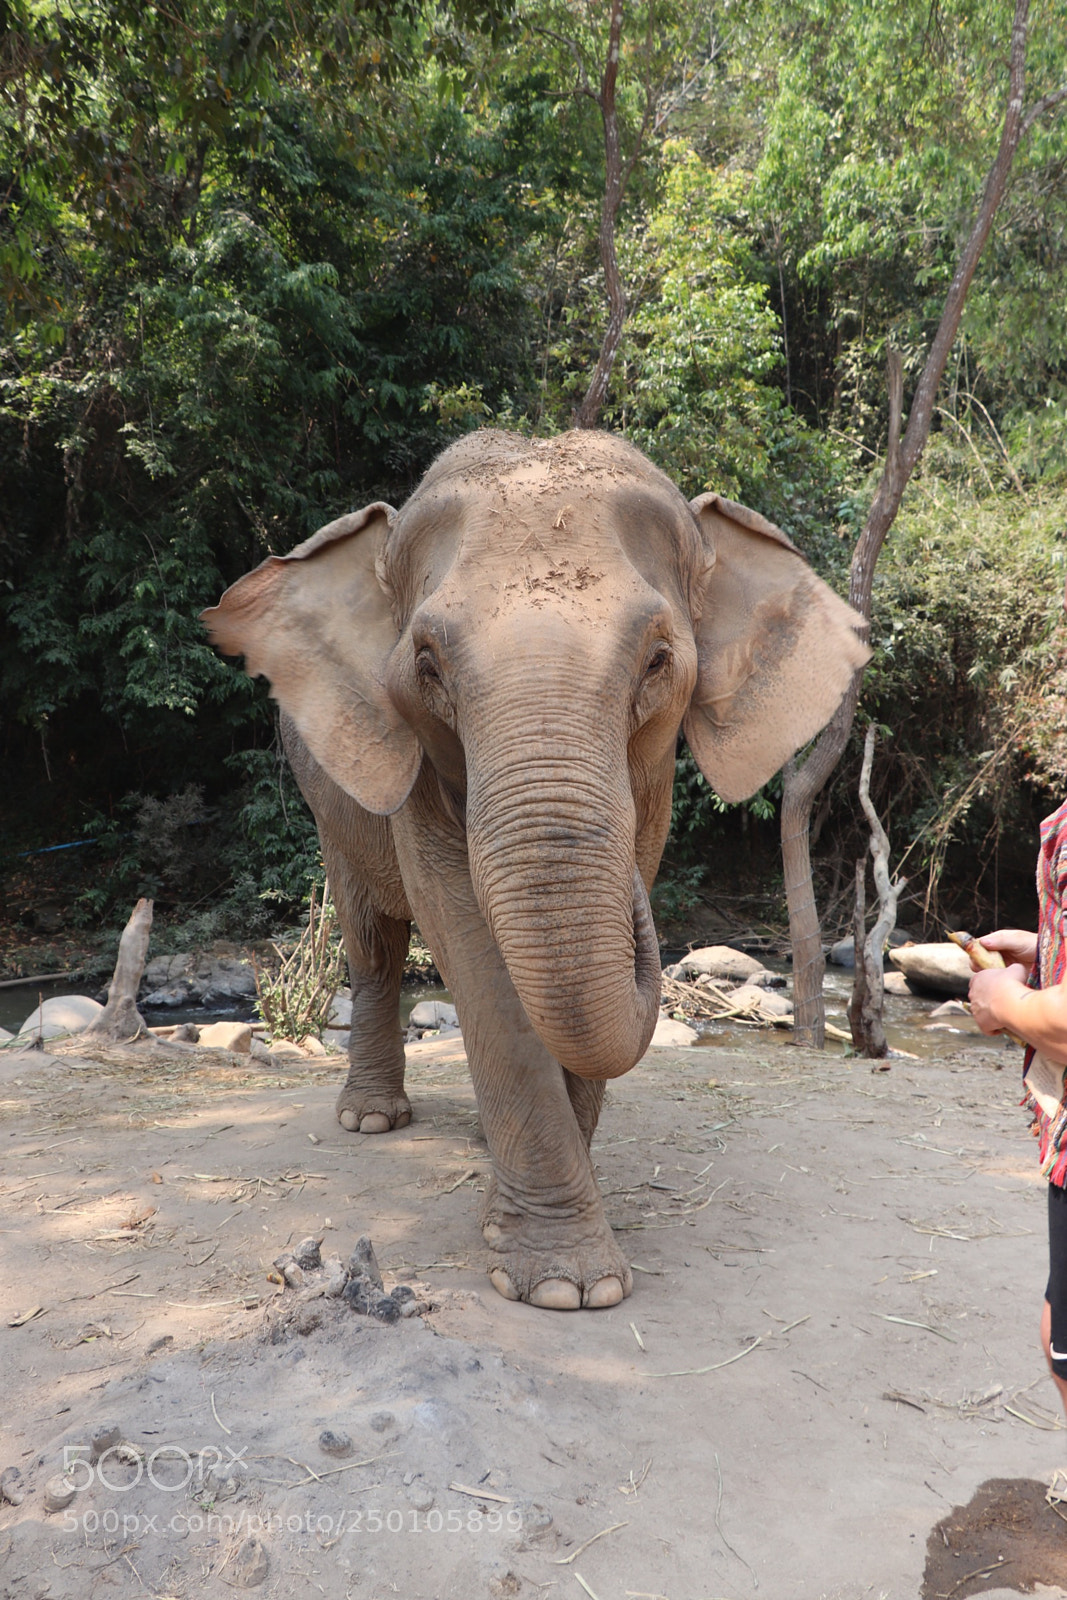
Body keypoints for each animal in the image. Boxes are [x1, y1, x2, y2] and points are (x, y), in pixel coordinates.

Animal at [202, 429, 868, 1311]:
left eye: (658, 660)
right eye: (426, 663)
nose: (644, 915)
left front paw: (544, 1241)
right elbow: (463, 934)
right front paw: (562, 1286)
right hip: (329, 796)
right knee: (373, 939)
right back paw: (372, 1121)